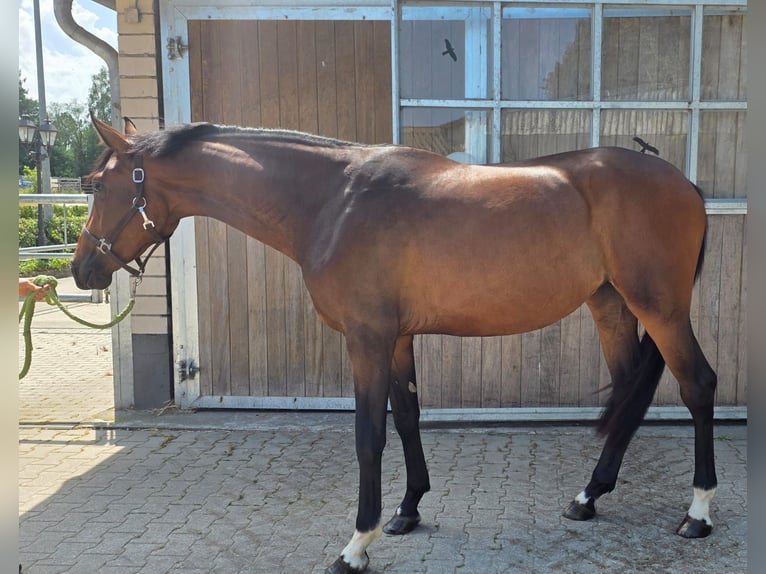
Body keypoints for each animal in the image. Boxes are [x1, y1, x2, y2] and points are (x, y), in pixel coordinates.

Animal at [72, 116, 718, 574]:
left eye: (97, 185)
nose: (81, 271)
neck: (333, 200)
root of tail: (686, 184)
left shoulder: (367, 338)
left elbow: (368, 436)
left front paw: (358, 543)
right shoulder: (400, 337)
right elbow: (407, 416)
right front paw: (408, 511)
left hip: (660, 308)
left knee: (698, 386)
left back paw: (698, 514)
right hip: (611, 304)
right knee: (631, 394)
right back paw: (589, 497)